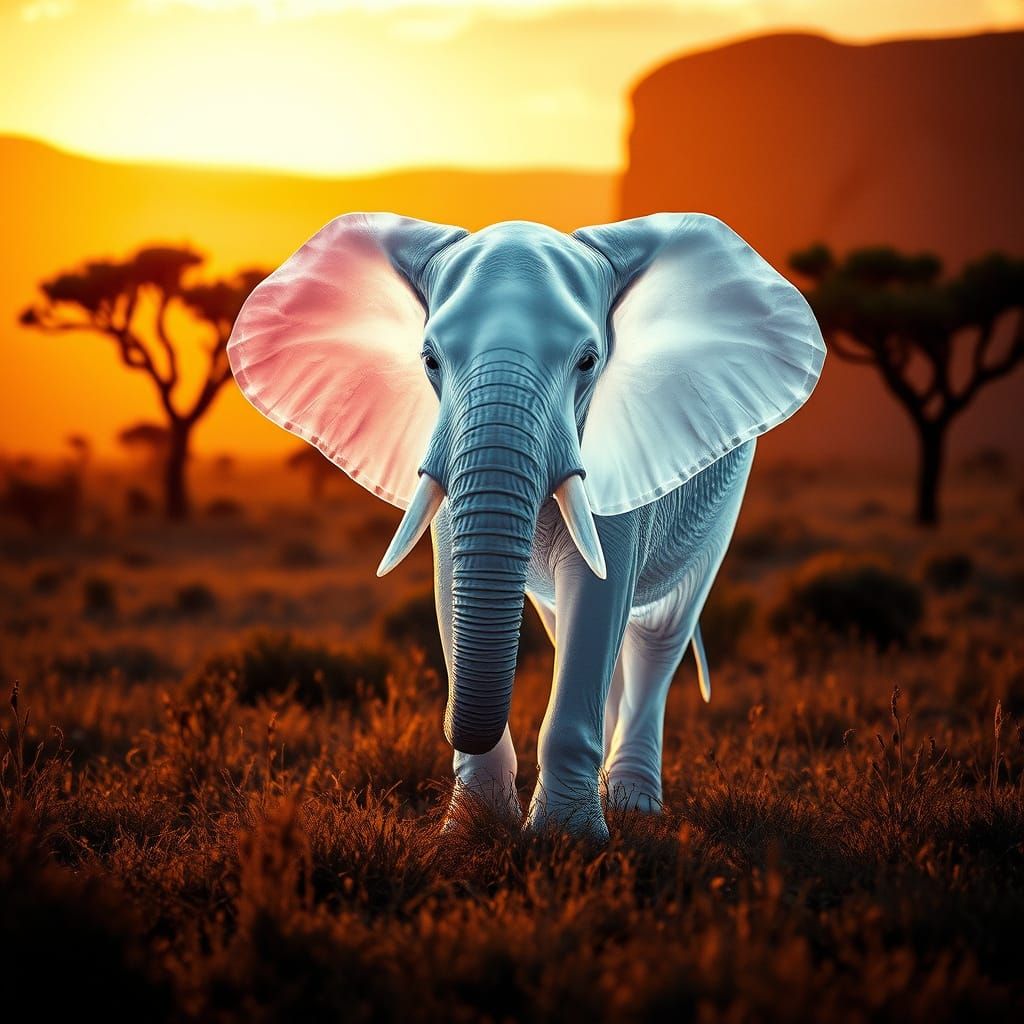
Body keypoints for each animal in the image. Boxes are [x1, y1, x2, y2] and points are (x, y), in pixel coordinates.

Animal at [227, 212, 825, 839]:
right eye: (430, 360)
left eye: (588, 361)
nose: (446, 723)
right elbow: (452, 588)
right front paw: (471, 832)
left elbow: (600, 587)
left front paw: (567, 840)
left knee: (659, 634)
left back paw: (633, 804)